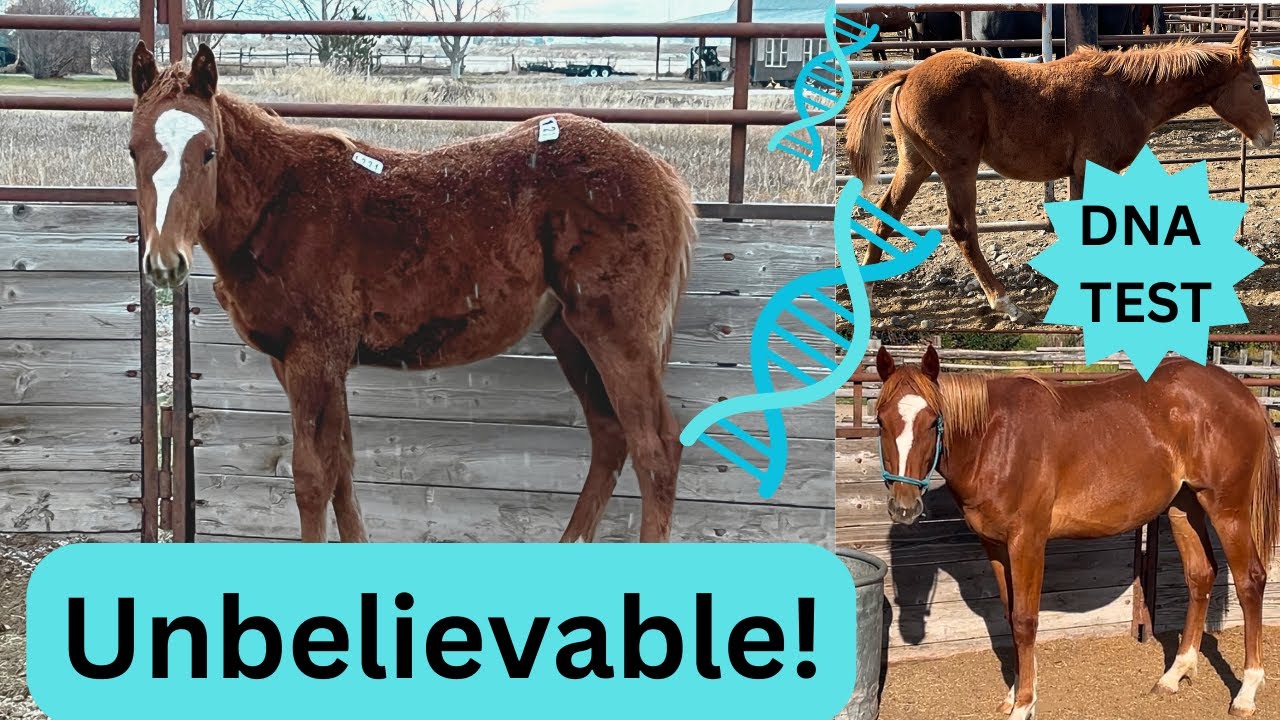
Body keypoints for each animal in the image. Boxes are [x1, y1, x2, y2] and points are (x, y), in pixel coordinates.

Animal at [127, 42, 698, 544]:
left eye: (208, 153)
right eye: (133, 150)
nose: (164, 262)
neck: (281, 205)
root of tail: (662, 173)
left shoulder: (314, 358)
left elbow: (312, 478)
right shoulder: (302, 362)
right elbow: (342, 469)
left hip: (619, 334)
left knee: (656, 450)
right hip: (569, 332)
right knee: (610, 435)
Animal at [845, 28, 1275, 323]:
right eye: (1256, 85)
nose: (1269, 136)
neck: (1127, 92)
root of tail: (907, 75)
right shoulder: (1090, 167)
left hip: (915, 164)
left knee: (887, 212)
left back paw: (868, 290)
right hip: (957, 169)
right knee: (962, 229)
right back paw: (1006, 303)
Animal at [873, 345, 1279, 718]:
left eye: (933, 421)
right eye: (880, 421)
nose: (904, 506)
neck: (995, 439)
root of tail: (1243, 394)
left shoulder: (1027, 542)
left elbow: (1025, 621)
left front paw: (1025, 704)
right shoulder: (995, 546)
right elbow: (1009, 615)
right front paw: (1015, 693)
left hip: (1227, 508)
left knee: (1250, 580)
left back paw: (1246, 692)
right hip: (1185, 506)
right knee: (1200, 575)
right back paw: (1173, 675)